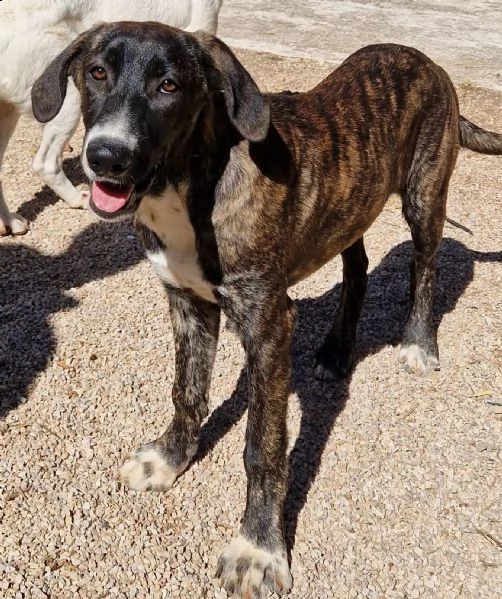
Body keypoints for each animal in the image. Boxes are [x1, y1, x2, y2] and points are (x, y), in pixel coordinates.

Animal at [31, 22, 502, 598]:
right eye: (97, 73)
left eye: (169, 85)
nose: (106, 157)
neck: (192, 189)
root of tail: (425, 60)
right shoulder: (187, 304)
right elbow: (186, 393)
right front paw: (170, 459)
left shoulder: (269, 326)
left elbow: (264, 447)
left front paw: (258, 547)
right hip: (350, 209)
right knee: (357, 268)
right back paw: (336, 351)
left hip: (425, 195)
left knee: (424, 267)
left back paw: (417, 342)